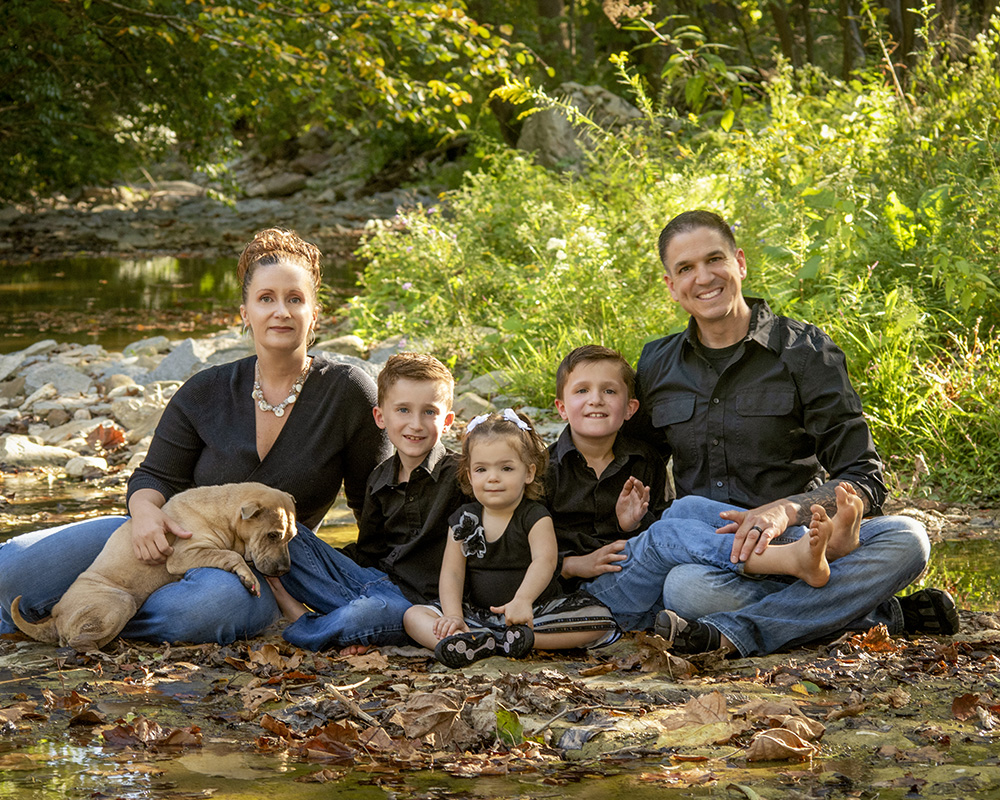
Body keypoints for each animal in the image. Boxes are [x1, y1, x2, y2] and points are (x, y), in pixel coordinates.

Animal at [10, 482, 296, 648]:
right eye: (272, 535)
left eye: (291, 537)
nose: (284, 571)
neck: (225, 512)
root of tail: (55, 617)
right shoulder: (184, 555)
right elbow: (230, 555)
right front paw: (249, 577)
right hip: (120, 601)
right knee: (74, 641)